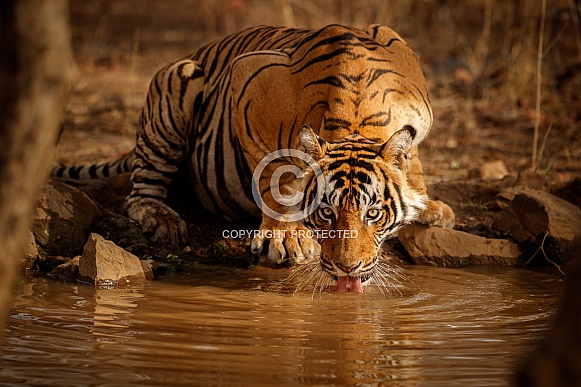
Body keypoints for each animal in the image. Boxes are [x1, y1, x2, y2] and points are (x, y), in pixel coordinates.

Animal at [53, 24, 454, 292]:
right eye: (326, 213)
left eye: (373, 214)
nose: (347, 269)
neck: (356, 117)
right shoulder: (248, 86)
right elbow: (275, 172)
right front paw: (284, 237)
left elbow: (413, 162)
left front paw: (427, 205)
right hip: (176, 83)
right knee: (140, 194)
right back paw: (162, 219)